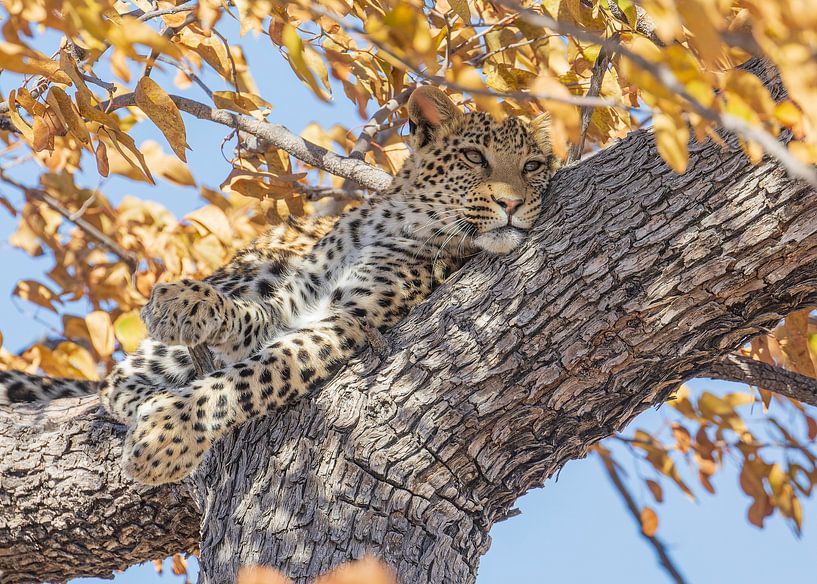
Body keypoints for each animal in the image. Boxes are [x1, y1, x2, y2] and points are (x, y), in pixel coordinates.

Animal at [0, 86, 558, 485]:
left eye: (533, 167)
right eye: (474, 158)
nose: (511, 203)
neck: (396, 219)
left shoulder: (347, 322)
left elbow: (252, 376)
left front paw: (168, 434)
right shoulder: (293, 300)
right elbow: (247, 316)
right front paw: (188, 302)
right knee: (119, 379)